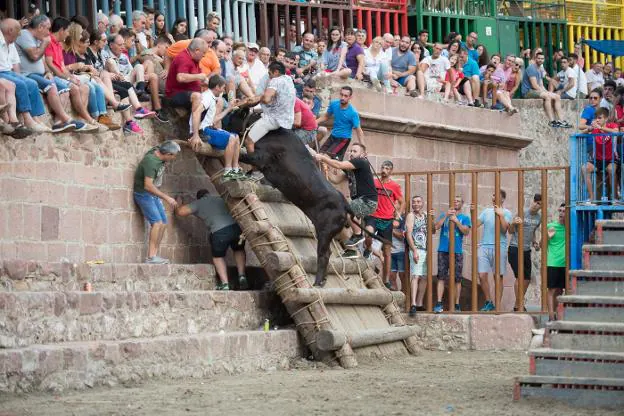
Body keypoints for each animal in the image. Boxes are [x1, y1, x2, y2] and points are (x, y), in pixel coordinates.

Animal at [225, 109, 352, 288]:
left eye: (232, 115)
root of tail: (345, 204)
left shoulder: (259, 157)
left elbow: (244, 155)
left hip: (324, 232)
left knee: (324, 254)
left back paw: (317, 282)